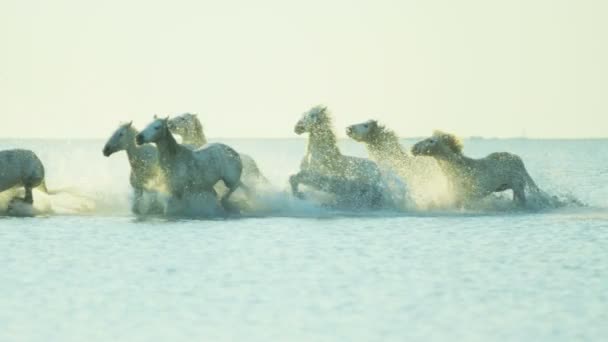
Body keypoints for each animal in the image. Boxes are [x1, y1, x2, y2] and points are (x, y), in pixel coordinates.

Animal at [410, 130, 544, 206]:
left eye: (431, 141)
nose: (413, 148)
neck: (456, 169)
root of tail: (518, 159)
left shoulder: (461, 197)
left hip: (518, 187)